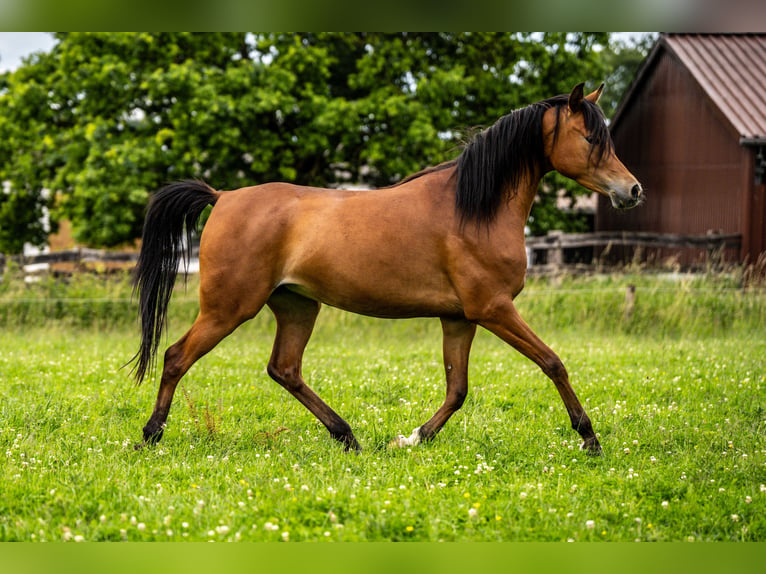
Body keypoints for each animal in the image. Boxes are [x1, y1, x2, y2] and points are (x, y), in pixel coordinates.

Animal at [130, 83, 640, 456]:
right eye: (590, 138)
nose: (632, 190)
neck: (474, 208)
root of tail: (222, 197)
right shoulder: (493, 309)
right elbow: (553, 363)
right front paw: (590, 438)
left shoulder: (459, 318)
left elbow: (457, 389)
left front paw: (411, 438)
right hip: (228, 308)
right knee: (176, 357)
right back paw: (150, 436)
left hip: (297, 307)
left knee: (284, 369)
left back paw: (347, 437)